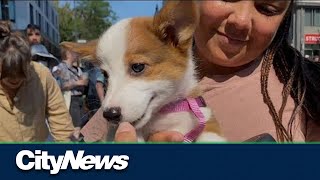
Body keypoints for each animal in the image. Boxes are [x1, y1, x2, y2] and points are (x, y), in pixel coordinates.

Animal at [70, 1, 225, 142]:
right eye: (105, 75)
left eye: (137, 67)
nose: (109, 115)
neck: (162, 115)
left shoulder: (206, 118)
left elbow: (211, 136)